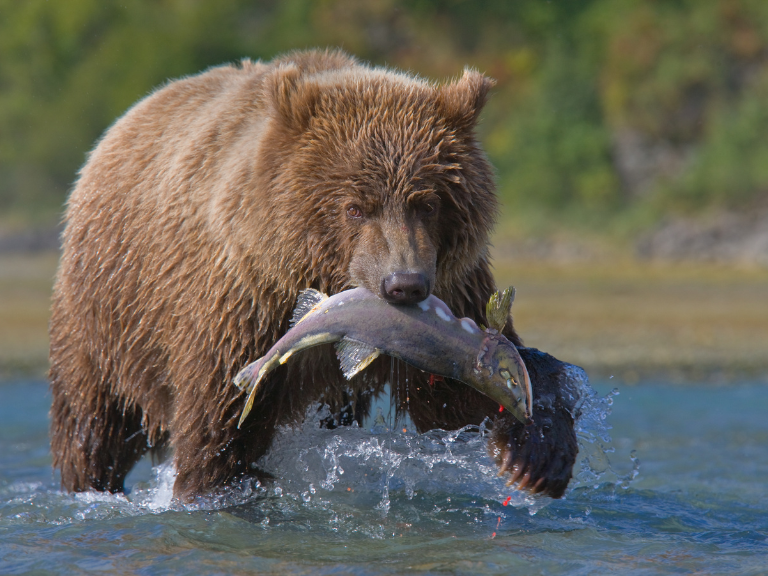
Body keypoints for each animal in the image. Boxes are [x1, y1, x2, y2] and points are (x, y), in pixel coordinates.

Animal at [49, 48, 576, 500]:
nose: (404, 285)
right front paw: (213, 486)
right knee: (92, 423)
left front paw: (534, 455)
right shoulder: (242, 301)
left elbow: (457, 400)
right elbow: (218, 425)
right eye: (354, 207)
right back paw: (89, 482)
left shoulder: (453, 298)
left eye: (428, 202)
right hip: (107, 318)